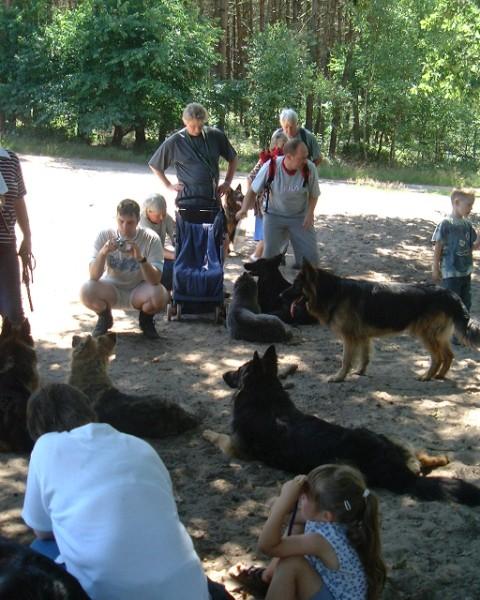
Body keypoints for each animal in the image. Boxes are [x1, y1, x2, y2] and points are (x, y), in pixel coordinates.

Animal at [203, 346, 480, 506]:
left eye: (238, 370)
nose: (223, 375)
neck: (264, 394)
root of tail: (400, 471)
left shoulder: (237, 448)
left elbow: (218, 436)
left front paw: (206, 431)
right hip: (377, 433)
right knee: (416, 454)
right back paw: (438, 458)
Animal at [285, 261, 480, 381]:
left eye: (295, 285)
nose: (280, 295)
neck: (332, 292)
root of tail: (451, 295)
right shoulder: (363, 337)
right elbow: (365, 357)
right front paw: (360, 372)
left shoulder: (349, 338)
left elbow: (345, 360)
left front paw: (339, 377)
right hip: (439, 336)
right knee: (449, 355)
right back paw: (439, 376)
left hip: (426, 335)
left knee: (438, 357)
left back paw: (426, 376)